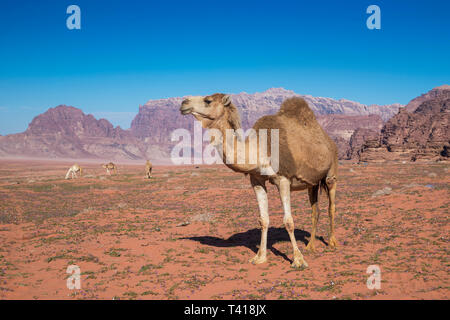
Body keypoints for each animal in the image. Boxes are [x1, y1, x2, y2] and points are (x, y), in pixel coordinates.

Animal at [179, 93, 338, 268]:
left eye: (208, 100)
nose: (183, 103)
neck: (259, 149)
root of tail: (330, 141)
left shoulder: (283, 179)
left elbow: (288, 221)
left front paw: (298, 260)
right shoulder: (256, 180)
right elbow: (263, 219)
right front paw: (260, 257)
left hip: (331, 172)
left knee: (331, 206)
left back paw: (332, 243)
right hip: (312, 182)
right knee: (315, 210)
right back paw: (310, 246)